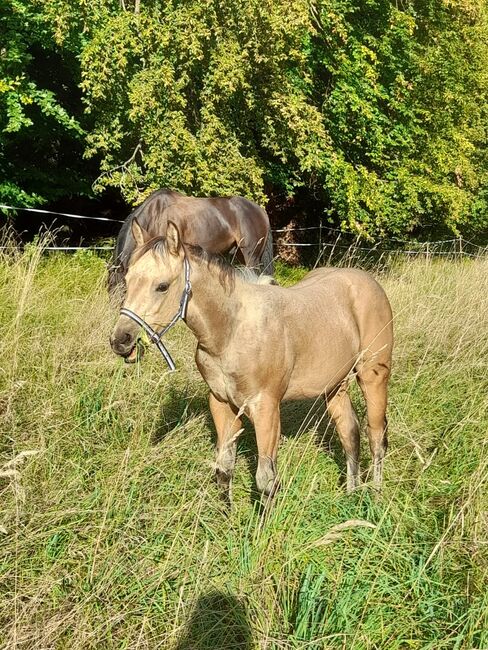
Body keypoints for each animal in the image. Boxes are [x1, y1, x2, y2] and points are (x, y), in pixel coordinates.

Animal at [110, 220, 392, 498]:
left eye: (162, 286)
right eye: (128, 279)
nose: (121, 340)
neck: (231, 331)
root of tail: (369, 282)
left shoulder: (266, 408)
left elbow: (266, 481)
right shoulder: (222, 404)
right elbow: (223, 469)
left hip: (373, 376)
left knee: (376, 435)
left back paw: (375, 496)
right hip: (335, 386)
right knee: (349, 432)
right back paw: (351, 494)